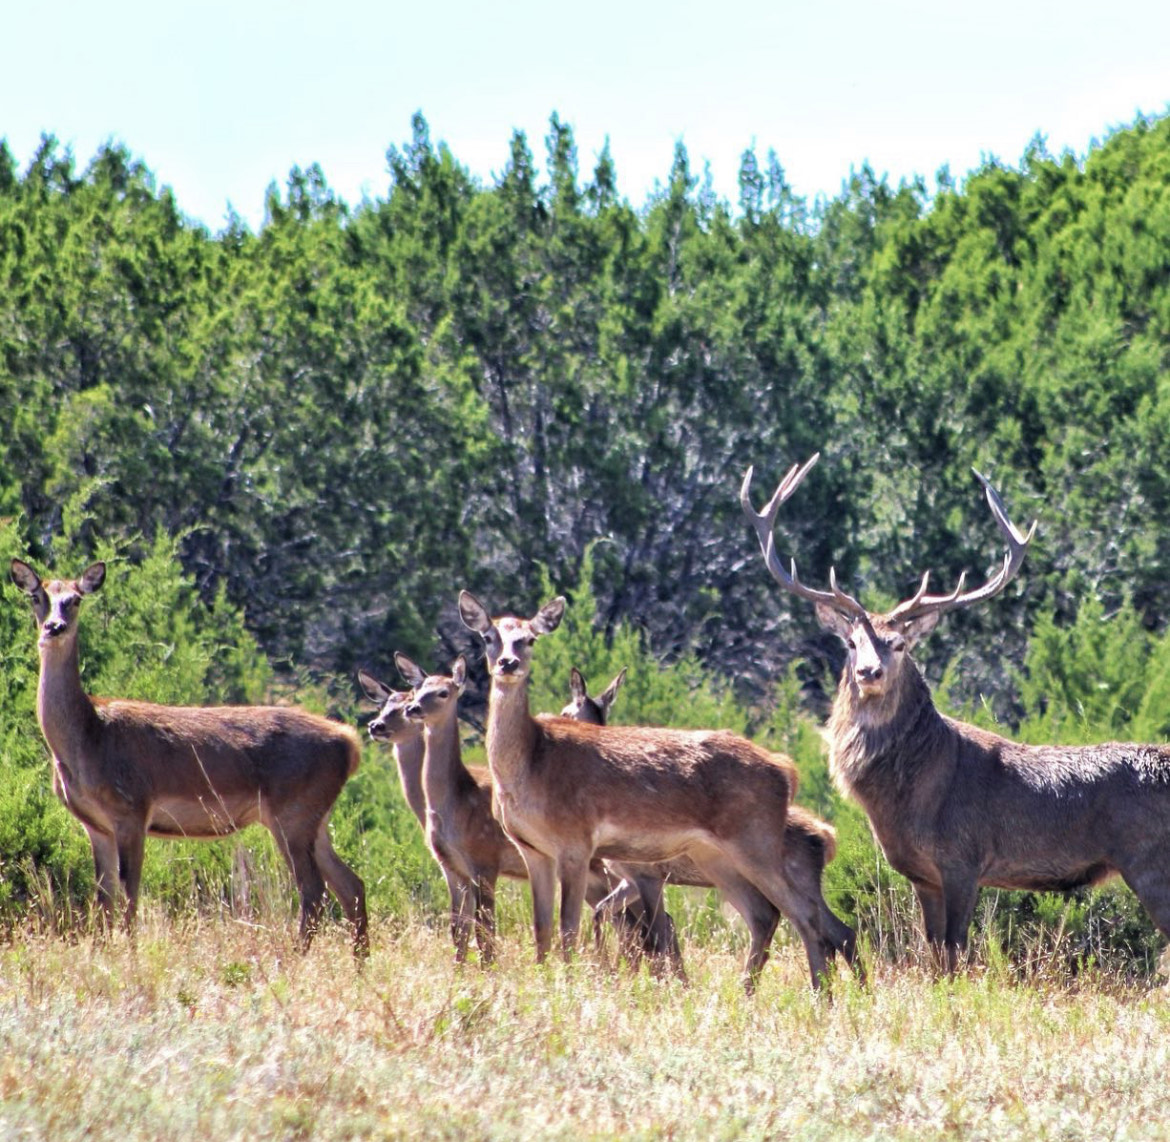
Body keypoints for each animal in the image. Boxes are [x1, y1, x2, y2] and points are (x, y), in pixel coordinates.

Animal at [9, 556, 365, 950]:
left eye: (75, 599)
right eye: (37, 596)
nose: (54, 627)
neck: (87, 739)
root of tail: (350, 743)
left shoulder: (132, 809)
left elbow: (130, 894)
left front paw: (129, 952)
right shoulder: (96, 825)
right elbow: (104, 900)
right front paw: (102, 952)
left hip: (292, 812)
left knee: (313, 890)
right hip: (315, 817)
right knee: (351, 885)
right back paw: (359, 959)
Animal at [451, 589, 847, 992]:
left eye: (530, 638)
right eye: (488, 636)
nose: (508, 663)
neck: (532, 764)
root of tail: (787, 770)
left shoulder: (576, 843)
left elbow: (570, 928)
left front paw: (572, 985)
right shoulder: (533, 850)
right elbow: (542, 929)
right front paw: (545, 982)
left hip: (755, 842)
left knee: (804, 915)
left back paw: (819, 995)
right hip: (714, 854)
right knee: (765, 914)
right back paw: (755, 992)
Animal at [739, 453, 1170, 973]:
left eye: (899, 644)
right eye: (851, 641)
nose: (869, 671)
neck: (910, 796)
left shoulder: (964, 857)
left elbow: (957, 950)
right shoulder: (922, 874)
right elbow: (934, 953)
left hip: (1150, 859)